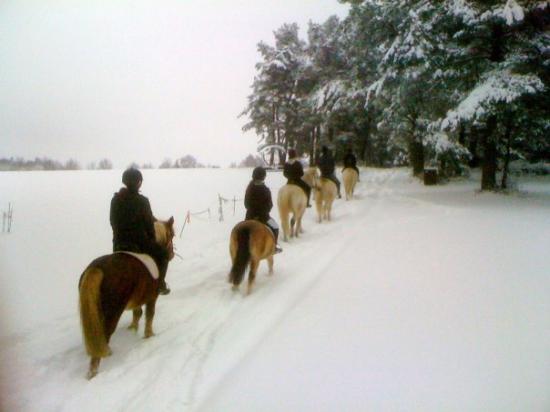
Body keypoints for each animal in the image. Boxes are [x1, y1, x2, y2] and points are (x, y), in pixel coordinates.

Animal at [78, 217, 175, 378]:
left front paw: (132, 329)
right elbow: (149, 315)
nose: (172, 254)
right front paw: (149, 335)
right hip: (112, 314)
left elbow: (137, 313)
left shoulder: (138, 299)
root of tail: (96, 269)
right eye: (172, 234)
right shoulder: (151, 298)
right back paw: (94, 372)